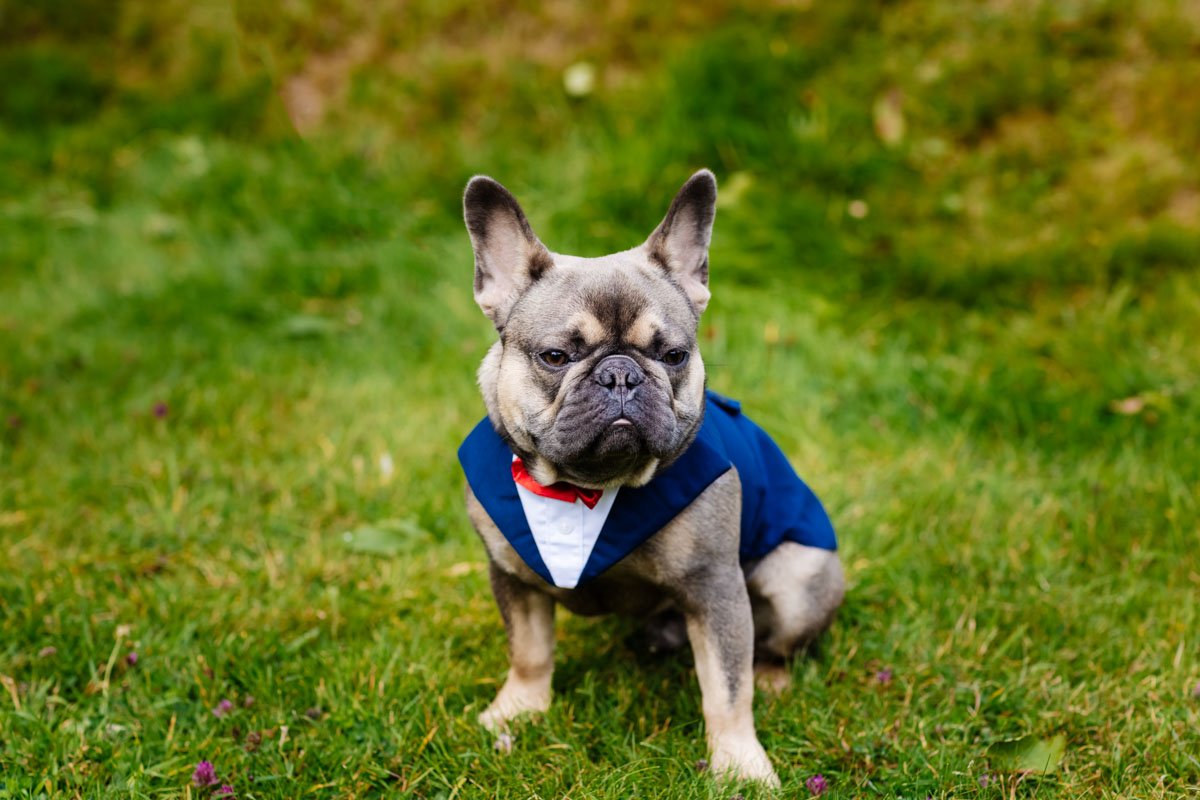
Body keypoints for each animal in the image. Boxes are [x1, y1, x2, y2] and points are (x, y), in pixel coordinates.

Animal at [456, 172, 844, 786]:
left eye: (674, 354)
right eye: (555, 356)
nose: (620, 374)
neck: (583, 490)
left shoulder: (715, 586)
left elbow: (728, 687)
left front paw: (740, 764)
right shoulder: (511, 576)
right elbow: (529, 651)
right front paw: (517, 711)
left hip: (800, 580)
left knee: (776, 645)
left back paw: (773, 677)